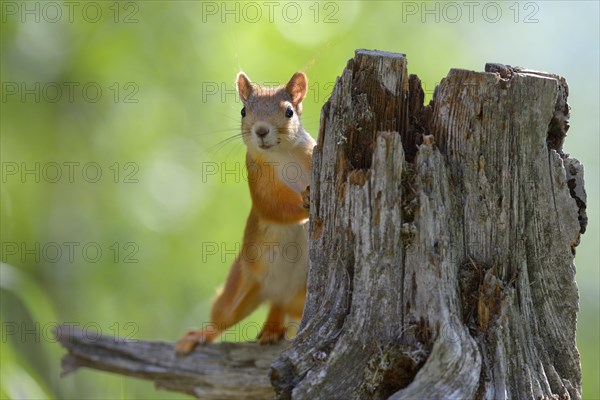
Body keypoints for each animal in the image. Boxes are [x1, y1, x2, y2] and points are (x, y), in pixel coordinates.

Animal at [176, 71, 316, 354]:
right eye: (243, 111)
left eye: (289, 112)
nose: (261, 130)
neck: (282, 154)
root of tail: (278, 293)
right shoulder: (258, 179)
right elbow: (273, 206)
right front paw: (304, 200)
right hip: (241, 283)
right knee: (223, 318)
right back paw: (199, 335)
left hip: (299, 296)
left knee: (281, 307)